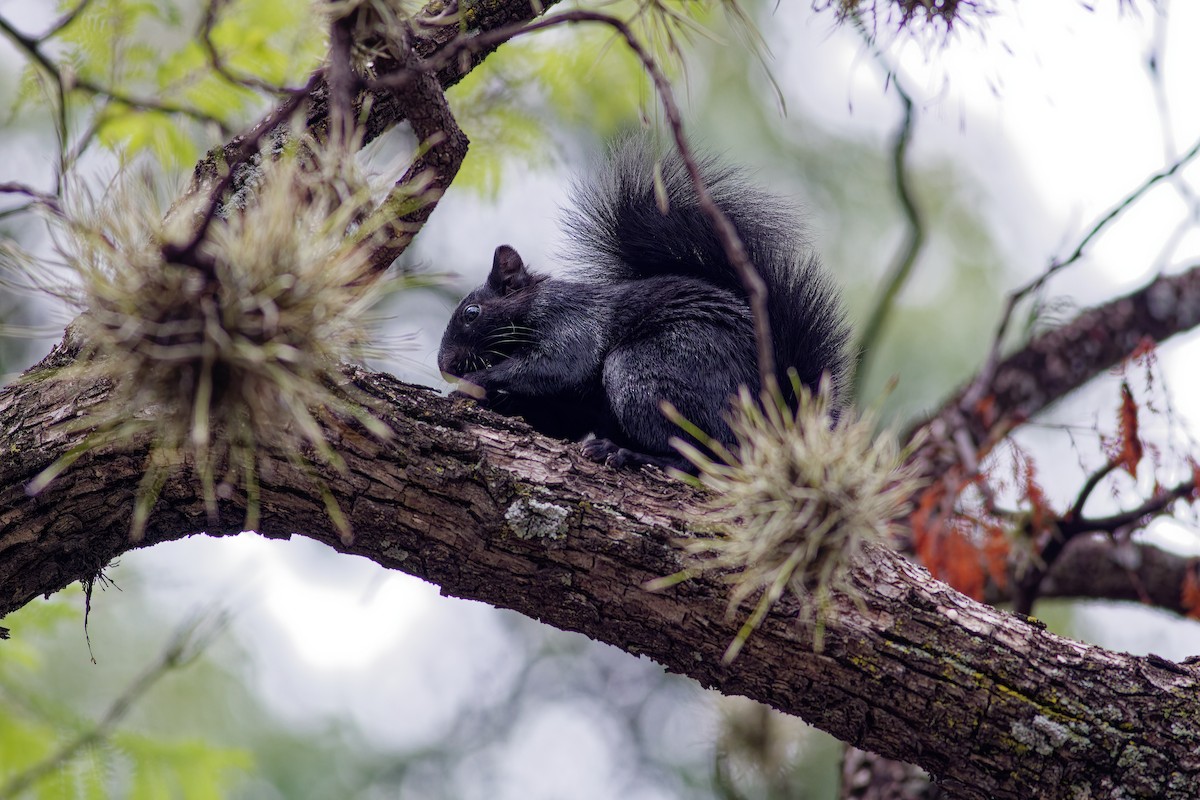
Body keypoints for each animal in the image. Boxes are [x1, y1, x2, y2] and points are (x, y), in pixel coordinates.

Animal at [437, 137, 850, 471]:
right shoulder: (570, 404)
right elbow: (556, 416)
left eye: (471, 313)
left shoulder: (569, 321)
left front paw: (474, 383)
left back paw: (627, 454)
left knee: (703, 456)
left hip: (648, 372)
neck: (535, 302)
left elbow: (559, 365)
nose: (444, 366)